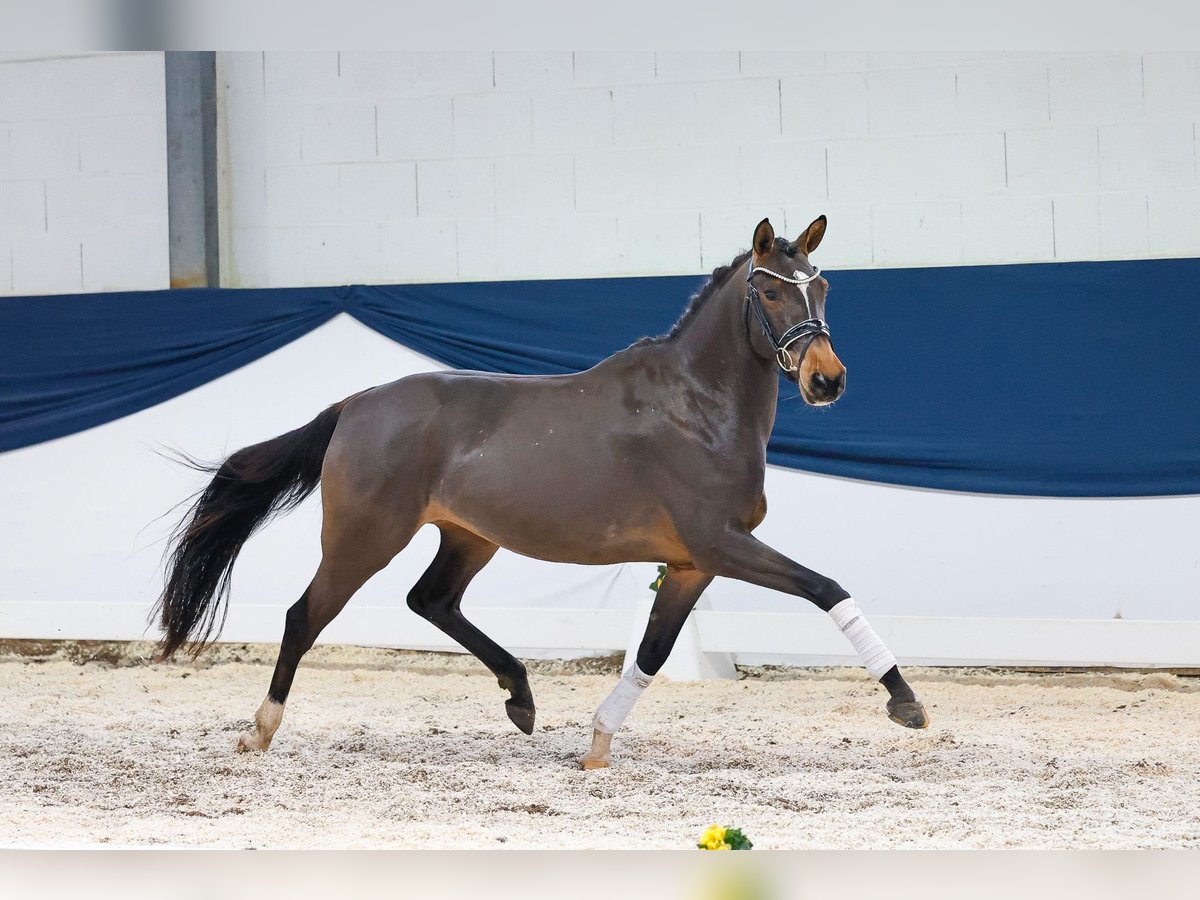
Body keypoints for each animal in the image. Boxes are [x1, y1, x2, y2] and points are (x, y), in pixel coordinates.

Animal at [157, 217, 926, 768]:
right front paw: (906, 703)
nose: (828, 380)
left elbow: (652, 655)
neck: (698, 406)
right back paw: (259, 732)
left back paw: (521, 698)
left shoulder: (690, 564)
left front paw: (597, 745)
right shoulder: (721, 544)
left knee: (430, 600)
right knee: (304, 616)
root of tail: (357, 403)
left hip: (471, 536)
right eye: (769, 291)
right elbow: (828, 589)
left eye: (821, 290)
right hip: (364, 538)